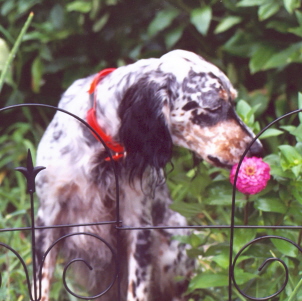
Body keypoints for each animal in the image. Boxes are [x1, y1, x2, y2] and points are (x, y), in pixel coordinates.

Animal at [34, 49, 262, 300]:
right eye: (214, 107)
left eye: (232, 102)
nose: (258, 149)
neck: (103, 149)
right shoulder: (48, 217)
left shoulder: (138, 224)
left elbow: (137, 288)